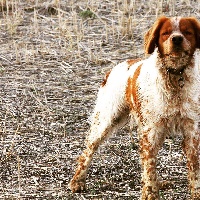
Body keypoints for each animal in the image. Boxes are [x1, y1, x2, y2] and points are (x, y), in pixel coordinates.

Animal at [69, 16, 200, 199]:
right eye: (166, 33)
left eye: (187, 32)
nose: (177, 39)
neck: (174, 77)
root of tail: (114, 69)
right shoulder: (151, 130)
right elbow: (149, 164)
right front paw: (150, 194)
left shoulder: (191, 129)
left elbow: (194, 169)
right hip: (106, 120)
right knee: (88, 150)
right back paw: (77, 181)